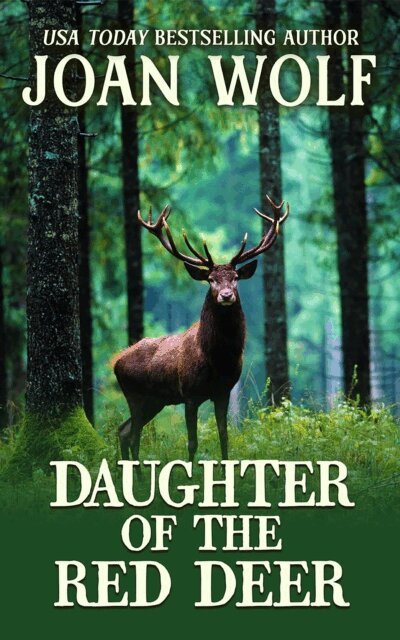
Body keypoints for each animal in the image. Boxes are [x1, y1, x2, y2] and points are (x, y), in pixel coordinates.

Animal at [113, 196, 289, 462]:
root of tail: (116, 362)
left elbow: (224, 437)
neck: (216, 359)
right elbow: (192, 442)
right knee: (132, 435)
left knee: (124, 430)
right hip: (134, 393)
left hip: (156, 400)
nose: (226, 295)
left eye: (235, 277)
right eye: (211, 280)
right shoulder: (189, 395)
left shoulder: (223, 391)